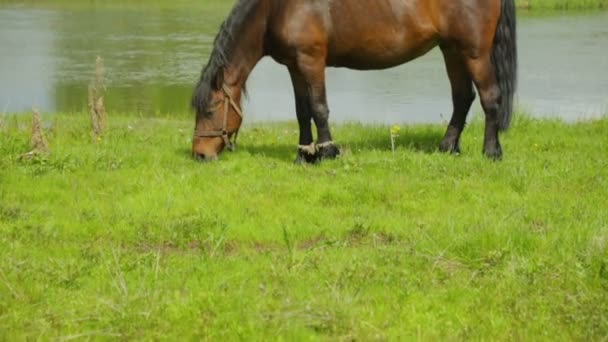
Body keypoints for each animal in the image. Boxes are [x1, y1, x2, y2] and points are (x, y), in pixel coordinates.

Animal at [192, 0, 516, 163]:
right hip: (451, 50)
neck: (276, 9)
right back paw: (447, 147)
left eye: (209, 111)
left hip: (474, 53)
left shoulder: (311, 60)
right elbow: (302, 112)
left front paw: (327, 152)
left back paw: (491, 152)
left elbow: (319, 108)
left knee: (490, 97)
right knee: (462, 98)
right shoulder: (294, 66)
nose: (199, 154)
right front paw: (303, 155)